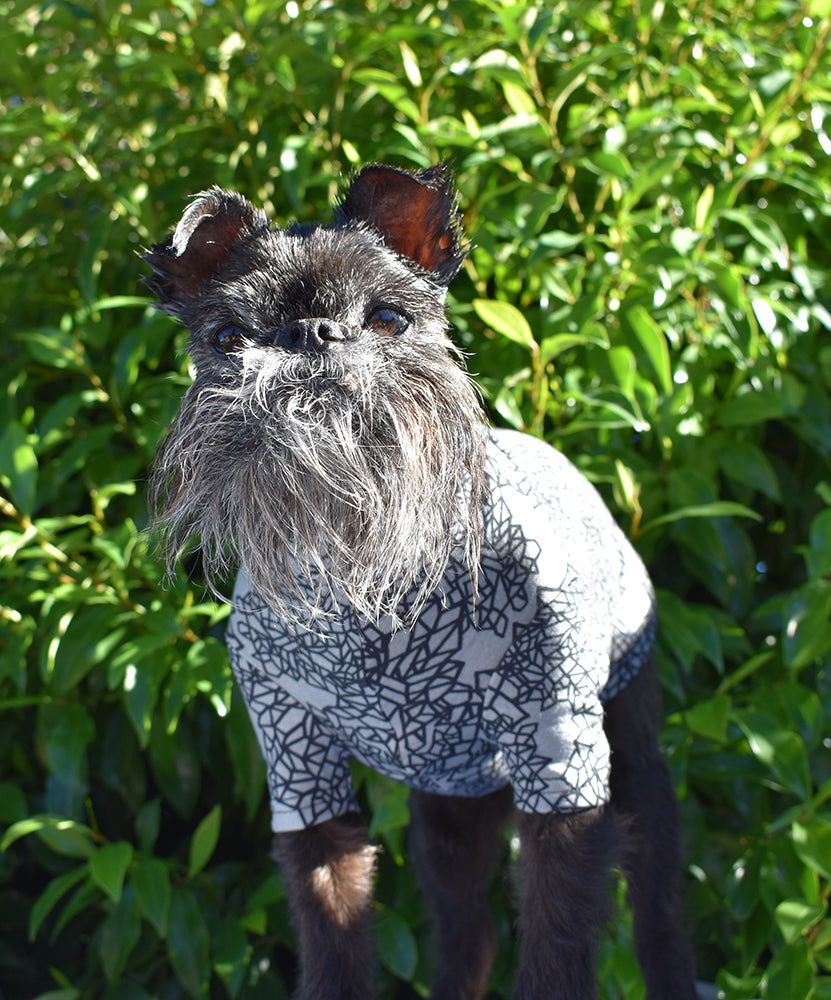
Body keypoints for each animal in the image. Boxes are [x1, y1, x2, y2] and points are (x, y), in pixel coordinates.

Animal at [146, 164, 700, 1000]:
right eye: (227, 338)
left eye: (387, 319)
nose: (313, 334)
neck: (365, 569)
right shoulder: (301, 775)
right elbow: (333, 934)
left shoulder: (560, 768)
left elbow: (556, 944)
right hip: (446, 819)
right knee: (466, 933)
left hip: (631, 761)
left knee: (659, 913)